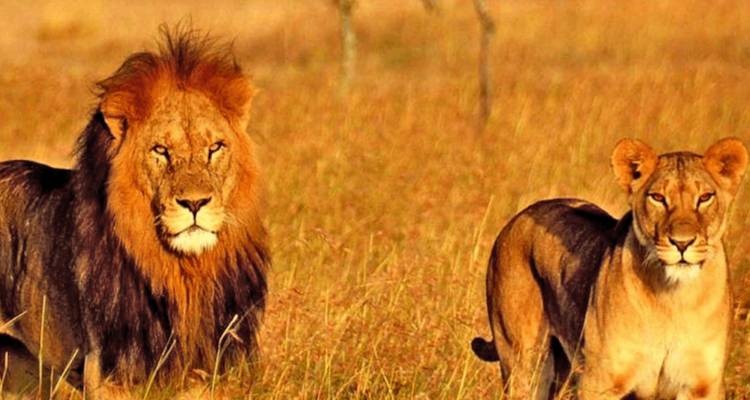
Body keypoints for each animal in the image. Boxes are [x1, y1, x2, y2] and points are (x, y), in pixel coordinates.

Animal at [0, 27, 269, 398]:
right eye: (161, 150)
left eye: (215, 148)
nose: (195, 203)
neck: (183, 273)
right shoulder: (108, 371)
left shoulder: (209, 369)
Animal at [472, 138, 748, 399]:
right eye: (658, 198)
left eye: (705, 198)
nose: (682, 243)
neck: (674, 299)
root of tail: (518, 217)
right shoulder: (599, 383)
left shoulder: (703, 386)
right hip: (524, 364)